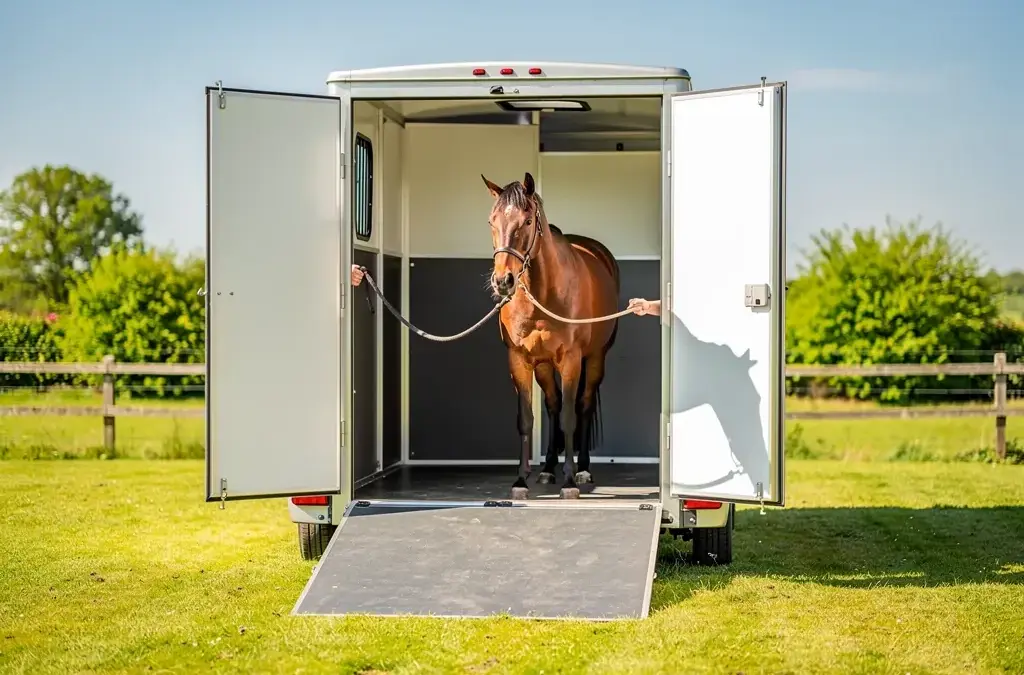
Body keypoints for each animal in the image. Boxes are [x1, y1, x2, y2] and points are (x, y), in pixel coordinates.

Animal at [481, 172, 622, 500]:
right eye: (492, 221)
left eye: (526, 221)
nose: (503, 281)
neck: (542, 294)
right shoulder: (519, 360)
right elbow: (527, 419)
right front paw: (521, 481)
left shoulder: (571, 360)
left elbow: (571, 417)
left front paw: (569, 482)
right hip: (544, 366)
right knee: (553, 405)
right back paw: (546, 468)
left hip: (595, 358)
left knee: (583, 405)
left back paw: (582, 469)